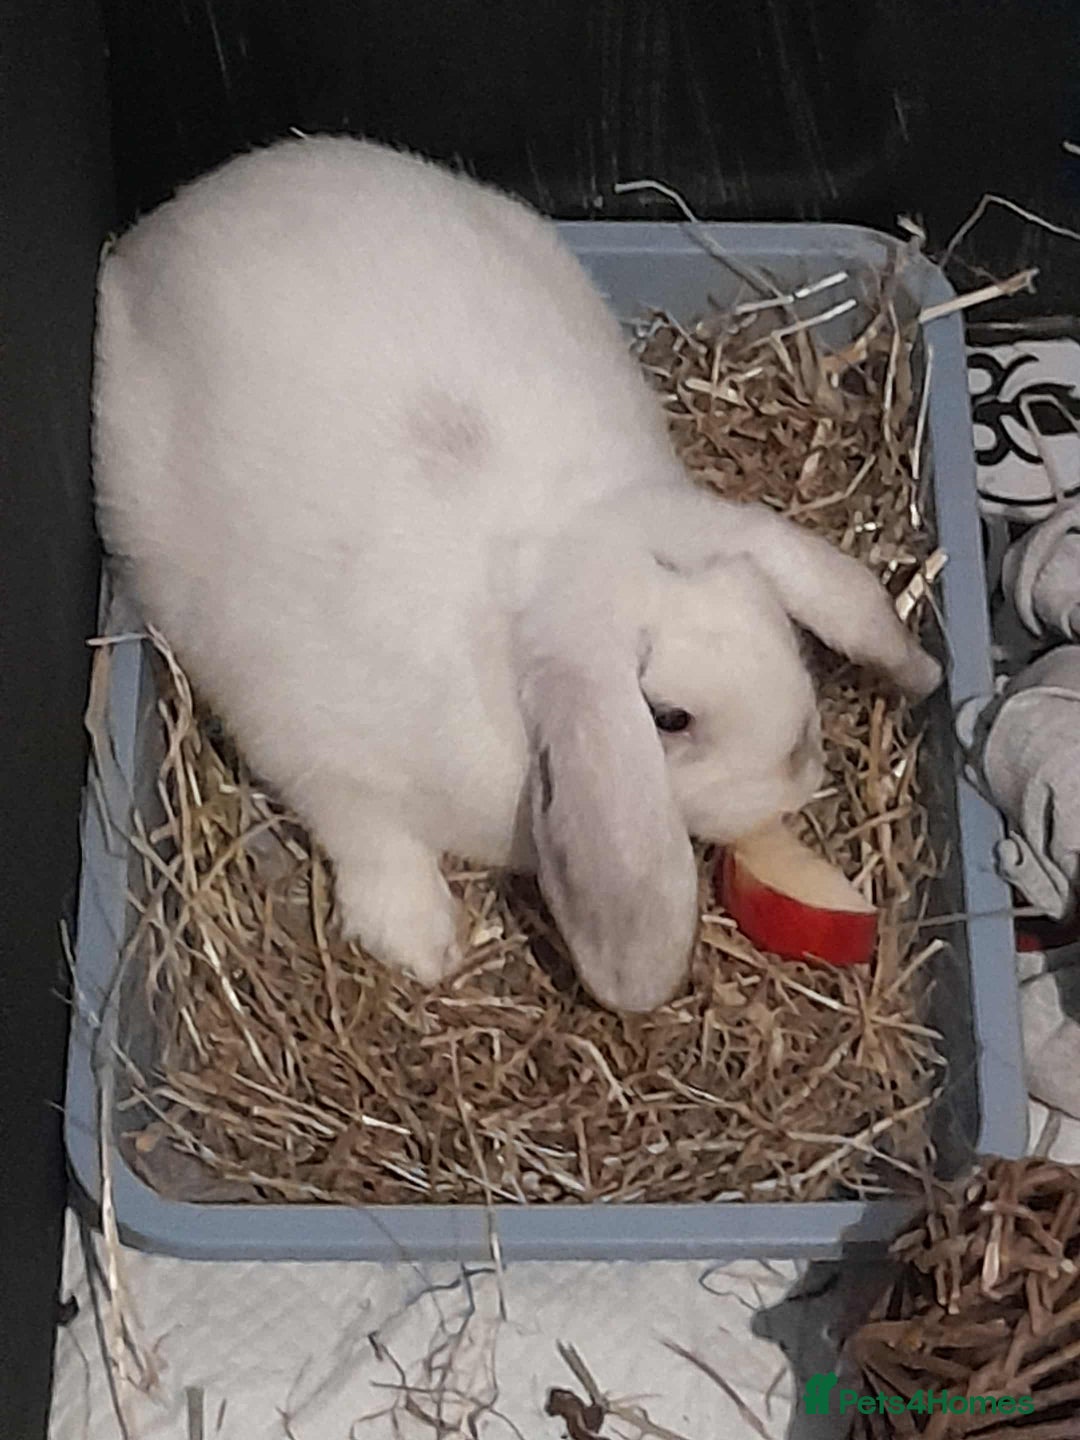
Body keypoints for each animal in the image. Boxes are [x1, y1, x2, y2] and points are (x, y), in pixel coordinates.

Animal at [92, 135, 941, 1013]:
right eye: (669, 719)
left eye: (779, 623)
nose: (798, 773)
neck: (557, 552)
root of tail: (160, 228)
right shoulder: (319, 755)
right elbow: (373, 839)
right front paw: (423, 944)